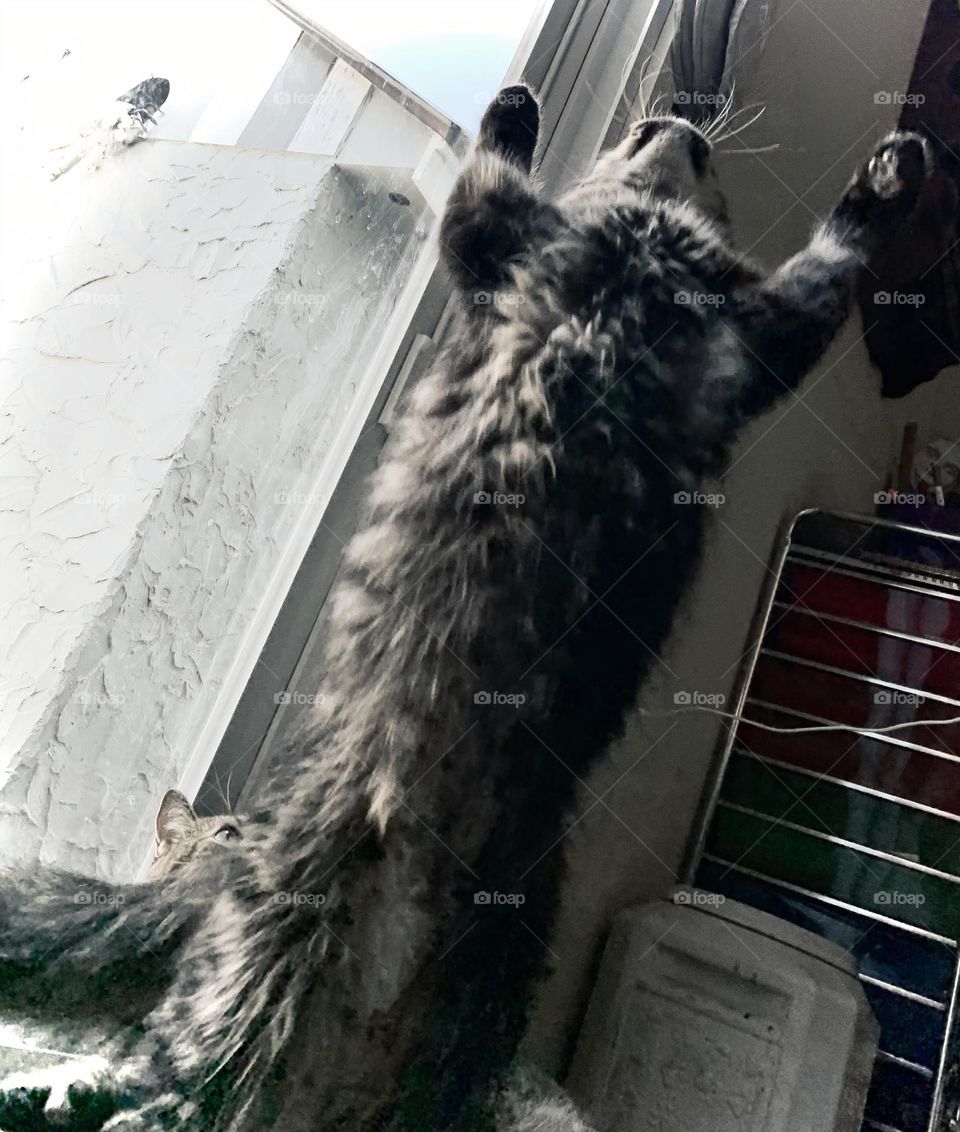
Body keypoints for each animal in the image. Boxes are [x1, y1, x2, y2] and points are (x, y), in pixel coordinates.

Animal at [0, 82, 928, 1132]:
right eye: (655, 138)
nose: (676, 121)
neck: (646, 247)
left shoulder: (734, 318)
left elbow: (832, 251)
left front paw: (891, 172)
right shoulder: (560, 261)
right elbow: (502, 171)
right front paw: (521, 106)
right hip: (265, 994)